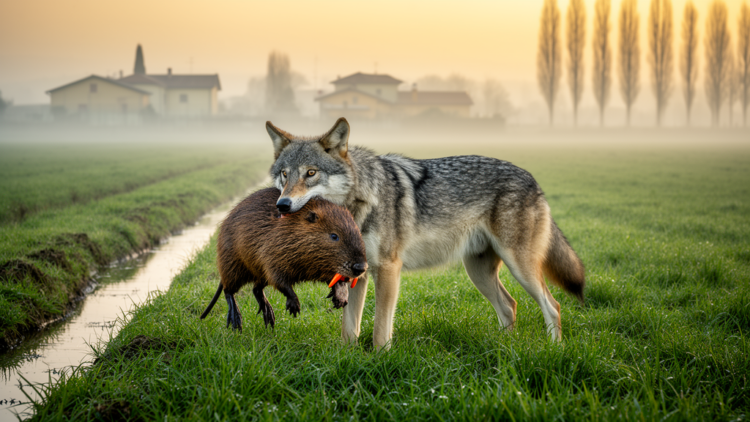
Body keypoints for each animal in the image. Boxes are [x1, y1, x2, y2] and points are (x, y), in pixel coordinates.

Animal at [266, 118, 585, 350]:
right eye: (284, 174)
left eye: (311, 173)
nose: (282, 204)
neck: (357, 206)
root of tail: (533, 179)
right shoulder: (357, 272)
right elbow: (349, 329)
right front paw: (347, 360)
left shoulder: (388, 269)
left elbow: (380, 328)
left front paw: (379, 360)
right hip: (479, 272)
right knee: (510, 306)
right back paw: (505, 349)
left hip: (520, 267)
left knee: (553, 305)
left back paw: (554, 351)